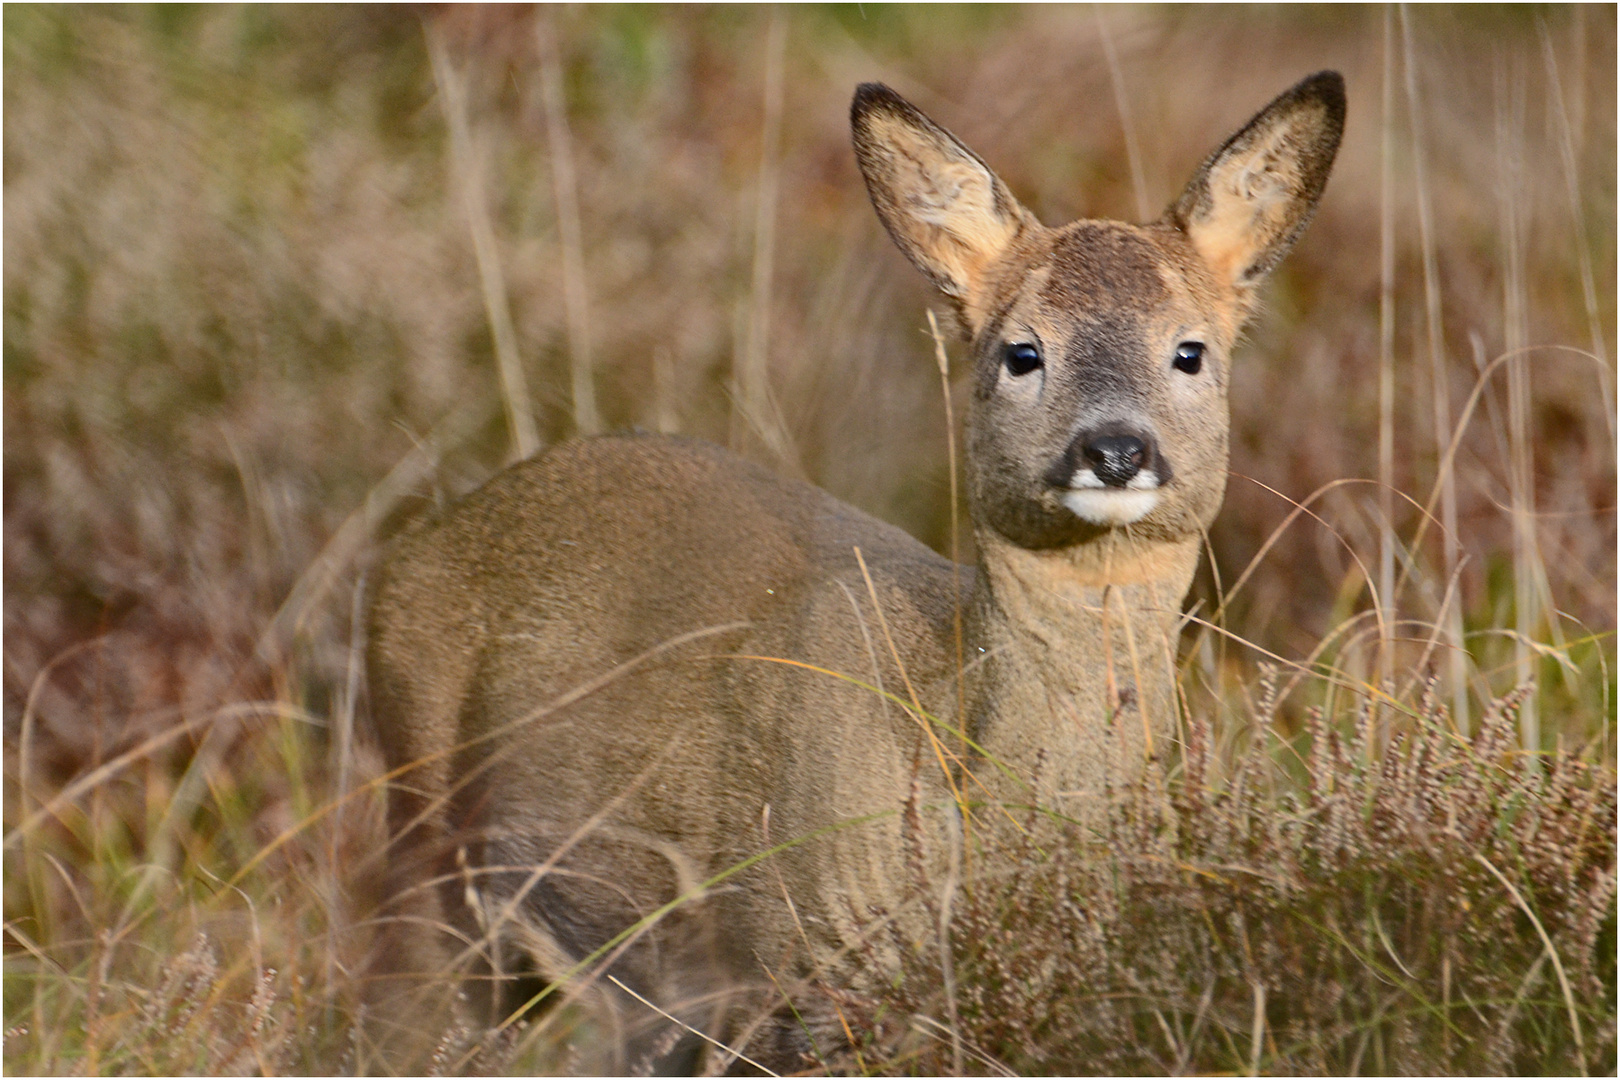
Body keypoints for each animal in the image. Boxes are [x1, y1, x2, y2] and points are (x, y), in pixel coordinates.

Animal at [367, 71, 1341, 1068]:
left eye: (1190, 350)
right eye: (1022, 351)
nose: (1114, 449)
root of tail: (416, 545)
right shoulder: (790, 961)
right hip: (426, 830)